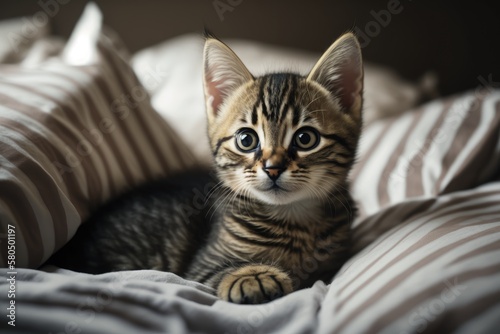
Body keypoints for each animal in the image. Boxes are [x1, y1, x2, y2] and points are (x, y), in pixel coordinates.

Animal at [49, 32, 364, 304]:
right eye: (247, 140)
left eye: (305, 138)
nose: (273, 168)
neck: (294, 221)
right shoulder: (201, 266)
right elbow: (220, 272)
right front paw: (254, 277)